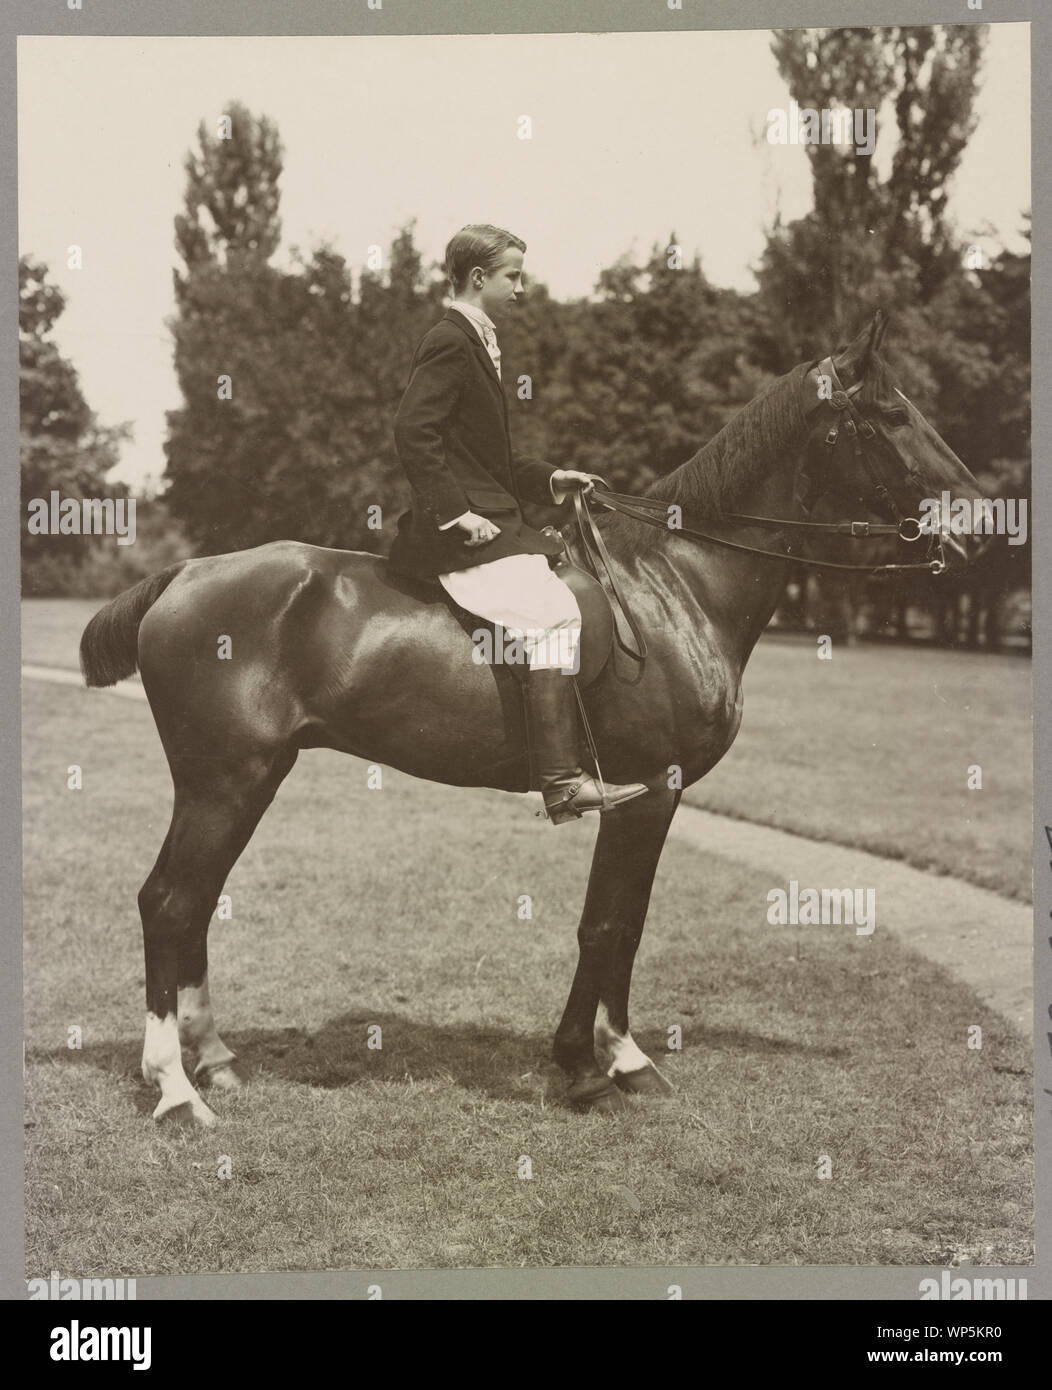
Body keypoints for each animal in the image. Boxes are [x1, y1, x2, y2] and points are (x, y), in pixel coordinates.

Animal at [79, 311, 982, 1124]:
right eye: (891, 414)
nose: (980, 513)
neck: (675, 583)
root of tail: (184, 574)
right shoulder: (649, 791)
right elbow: (609, 925)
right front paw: (601, 1066)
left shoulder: (653, 796)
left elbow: (621, 924)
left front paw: (604, 1059)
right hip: (223, 781)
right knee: (169, 902)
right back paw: (177, 1092)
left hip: (251, 779)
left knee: (193, 904)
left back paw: (215, 1061)